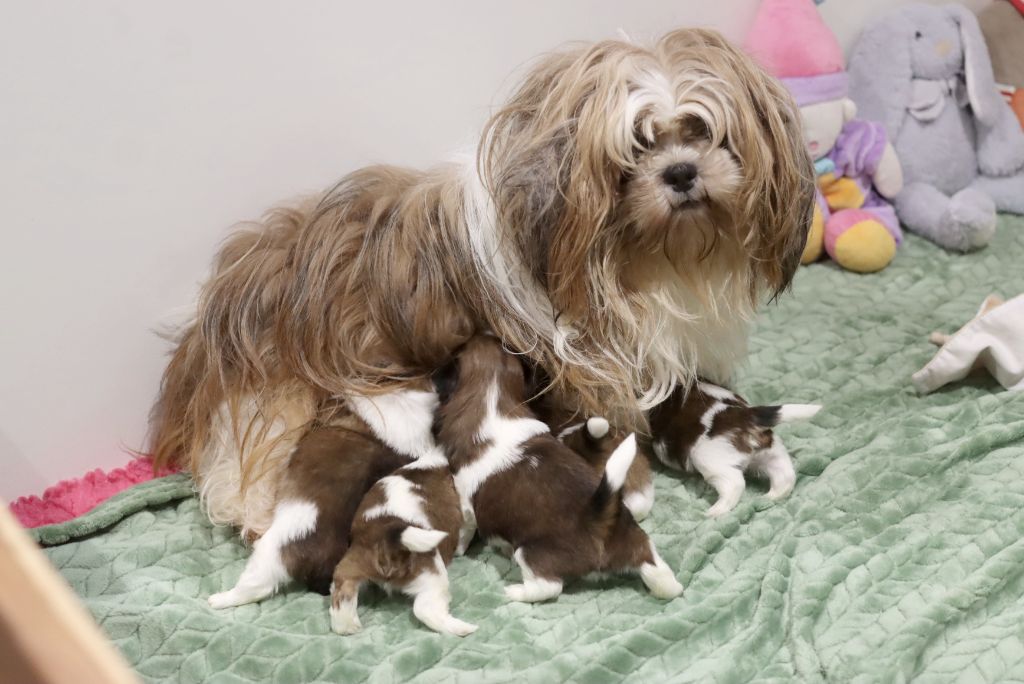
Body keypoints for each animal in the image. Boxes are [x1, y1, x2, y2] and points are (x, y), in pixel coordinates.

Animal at [327, 448, 475, 634]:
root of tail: (385, 540)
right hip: (432, 572)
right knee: (425, 609)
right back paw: (463, 628)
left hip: (354, 562)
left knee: (342, 592)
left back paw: (348, 626)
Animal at [436, 335, 684, 602]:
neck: (491, 398)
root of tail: (599, 519)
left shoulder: (465, 504)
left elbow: (464, 529)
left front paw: (459, 549)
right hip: (638, 542)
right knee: (657, 569)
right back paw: (669, 587)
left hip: (530, 552)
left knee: (548, 586)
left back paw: (513, 591)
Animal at [647, 382, 823, 516]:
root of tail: (746, 415)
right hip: (770, 452)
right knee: (785, 476)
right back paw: (769, 498)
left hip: (707, 459)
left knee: (734, 484)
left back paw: (714, 512)